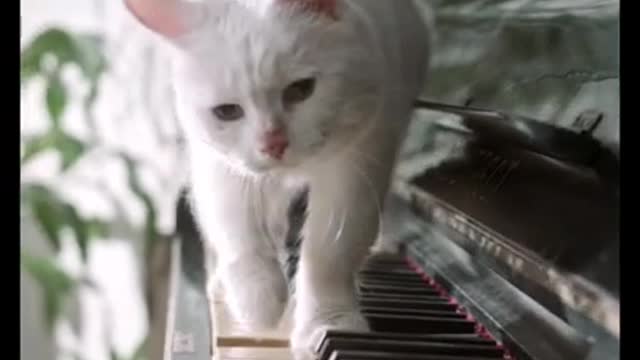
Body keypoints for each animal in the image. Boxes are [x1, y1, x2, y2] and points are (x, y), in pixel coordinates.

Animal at [125, 0, 430, 354]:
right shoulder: (220, 167)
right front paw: (259, 303)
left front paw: (328, 324)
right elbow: (239, 234)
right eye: (227, 112)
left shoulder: (360, 162)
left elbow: (330, 254)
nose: (273, 143)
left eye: (301, 90)